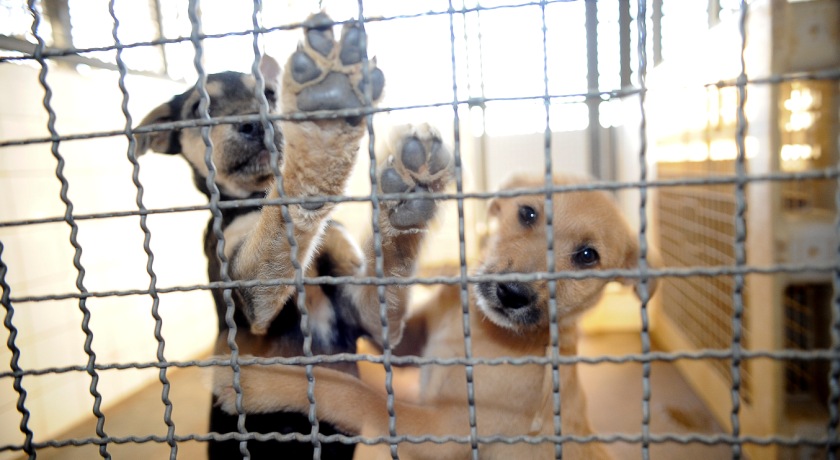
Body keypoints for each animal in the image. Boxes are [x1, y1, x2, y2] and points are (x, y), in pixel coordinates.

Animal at [212, 174, 656, 458]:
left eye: (588, 256)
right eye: (527, 213)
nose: (512, 293)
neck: (479, 327)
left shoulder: (446, 432)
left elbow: (353, 393)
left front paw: (256, 383)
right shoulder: (410, 343)